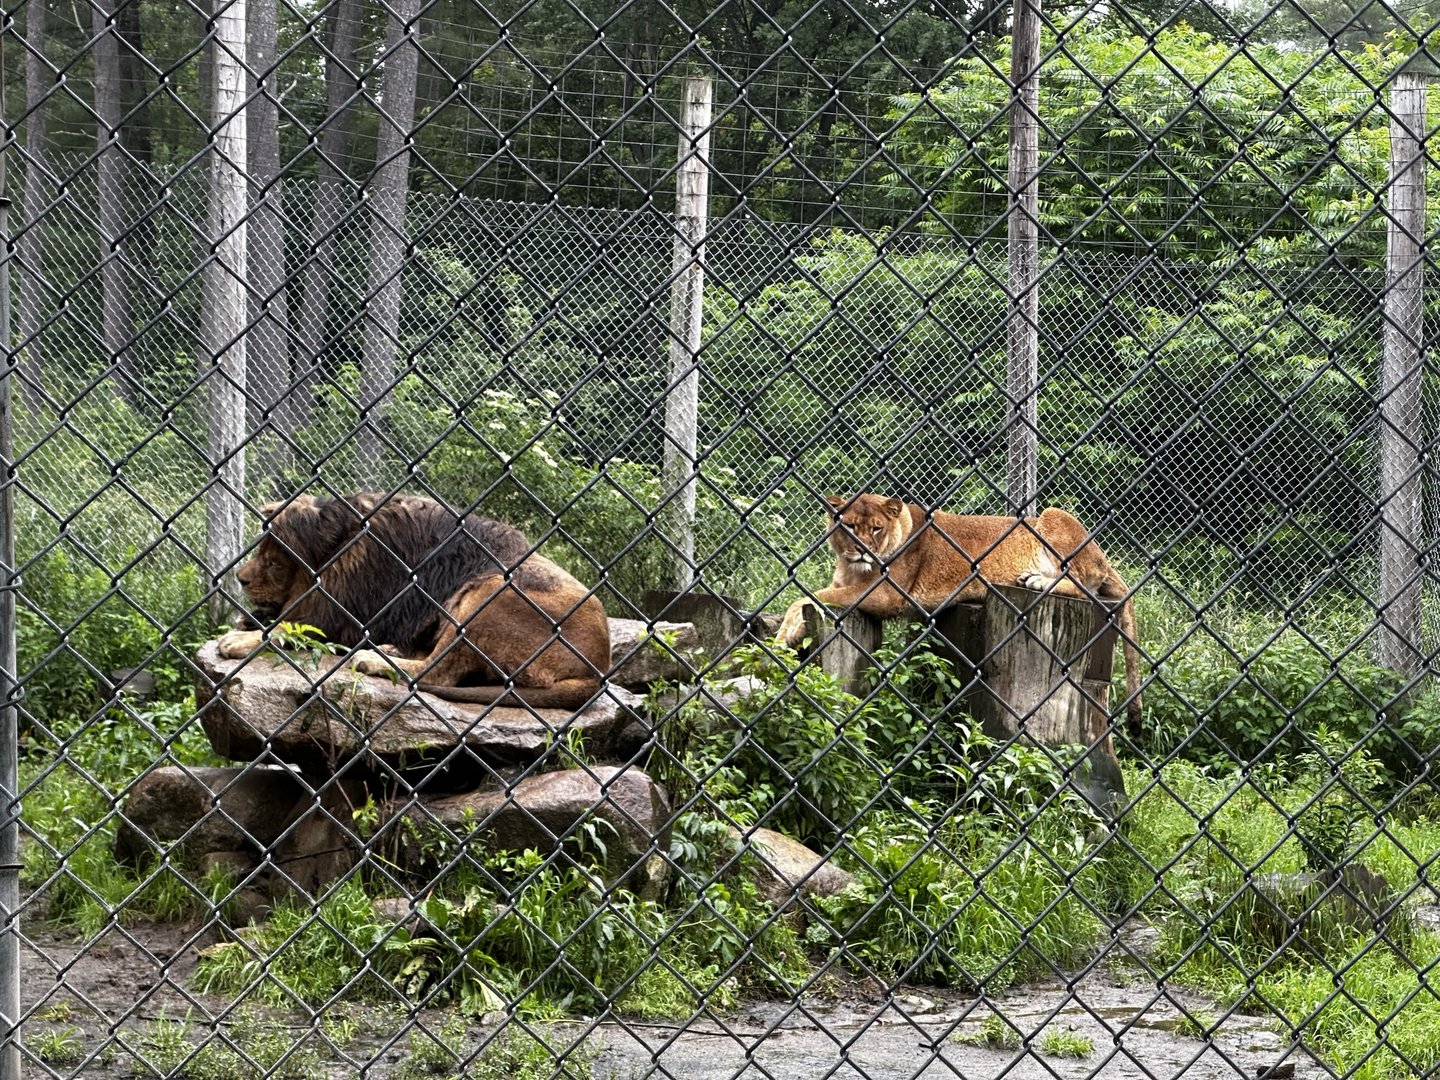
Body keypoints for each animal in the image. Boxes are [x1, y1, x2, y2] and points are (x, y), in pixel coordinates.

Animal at [216, 493, 610, 708]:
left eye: (273, 562)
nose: (240, 578)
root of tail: (598, 667)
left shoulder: (342, 615)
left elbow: (289, 625)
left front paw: (241, 638)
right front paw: (248, 620)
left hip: (489, 595)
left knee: (437, 671)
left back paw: (373, 659)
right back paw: (387, 650)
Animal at [776, 494, 1142, 725]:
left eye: (876, 528)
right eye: (850, 527)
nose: (863, 549)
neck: (853, 568)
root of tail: (1103, 557)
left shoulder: (887, 593)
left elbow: (808, 596)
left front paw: (782, 639)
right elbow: (808, 596)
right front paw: (786, 636)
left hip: (1055, 517)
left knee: (1082, 587)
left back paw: (1035, 579)